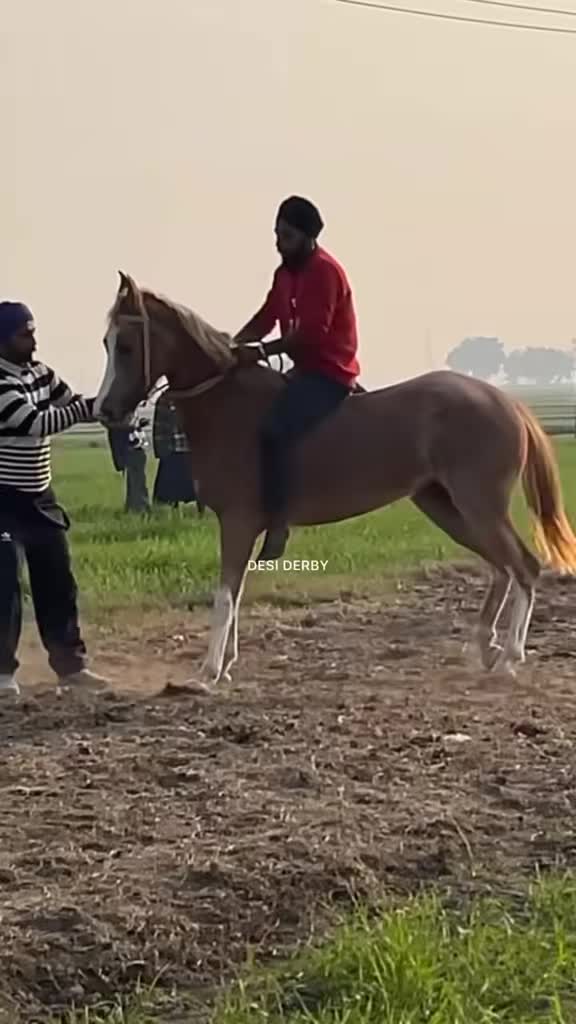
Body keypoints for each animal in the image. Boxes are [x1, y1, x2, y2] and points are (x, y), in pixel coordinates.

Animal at [94, 271, 576, 690]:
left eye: (127, 347)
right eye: (106, 343)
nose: (104, 409)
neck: (228, 404)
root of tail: (505, 401)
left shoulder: (237, 521)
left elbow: (226, 593)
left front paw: (209, 669)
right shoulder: (239, 525)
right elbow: (234, 591)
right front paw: (224, 663)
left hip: (479, 505)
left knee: (524, 566)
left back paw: (509, 656)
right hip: (445, 506)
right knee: (502, 567)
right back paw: (486, 645)